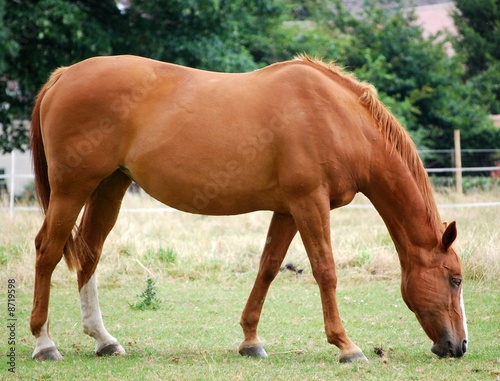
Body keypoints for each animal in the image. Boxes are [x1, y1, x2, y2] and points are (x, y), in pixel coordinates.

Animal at [28, 53, 468, 360]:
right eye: (455, 279)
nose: (459, 346)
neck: (338, 118)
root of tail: (63, 76)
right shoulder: (310, 203)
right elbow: (325, 271)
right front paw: (346, 346)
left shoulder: (289, 209)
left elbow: (268, 268)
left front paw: (251, 340)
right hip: (72, 190)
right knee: (48, 252)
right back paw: (44, 344)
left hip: (109, 187)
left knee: (89, 254)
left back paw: (103, 340)